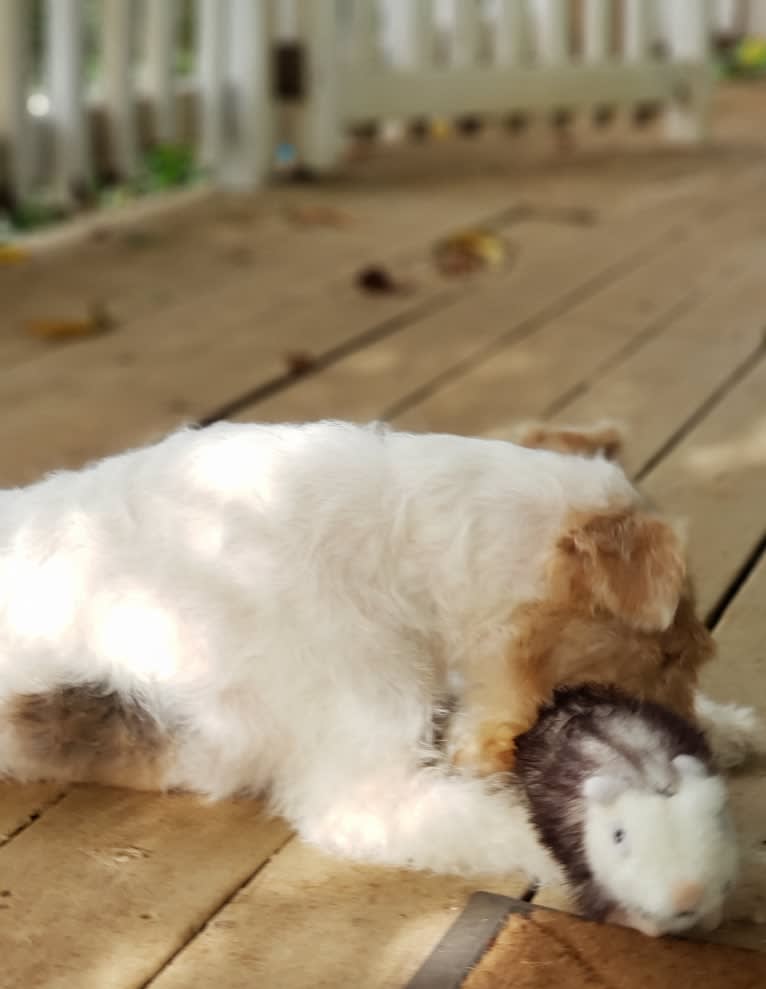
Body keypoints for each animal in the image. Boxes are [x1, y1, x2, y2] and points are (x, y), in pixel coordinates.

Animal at [0, 422, 760, 880]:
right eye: (670, 657)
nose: (688, 750)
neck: (403, 551)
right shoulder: (364, 790)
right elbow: (509, 821)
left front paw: (731, 729)